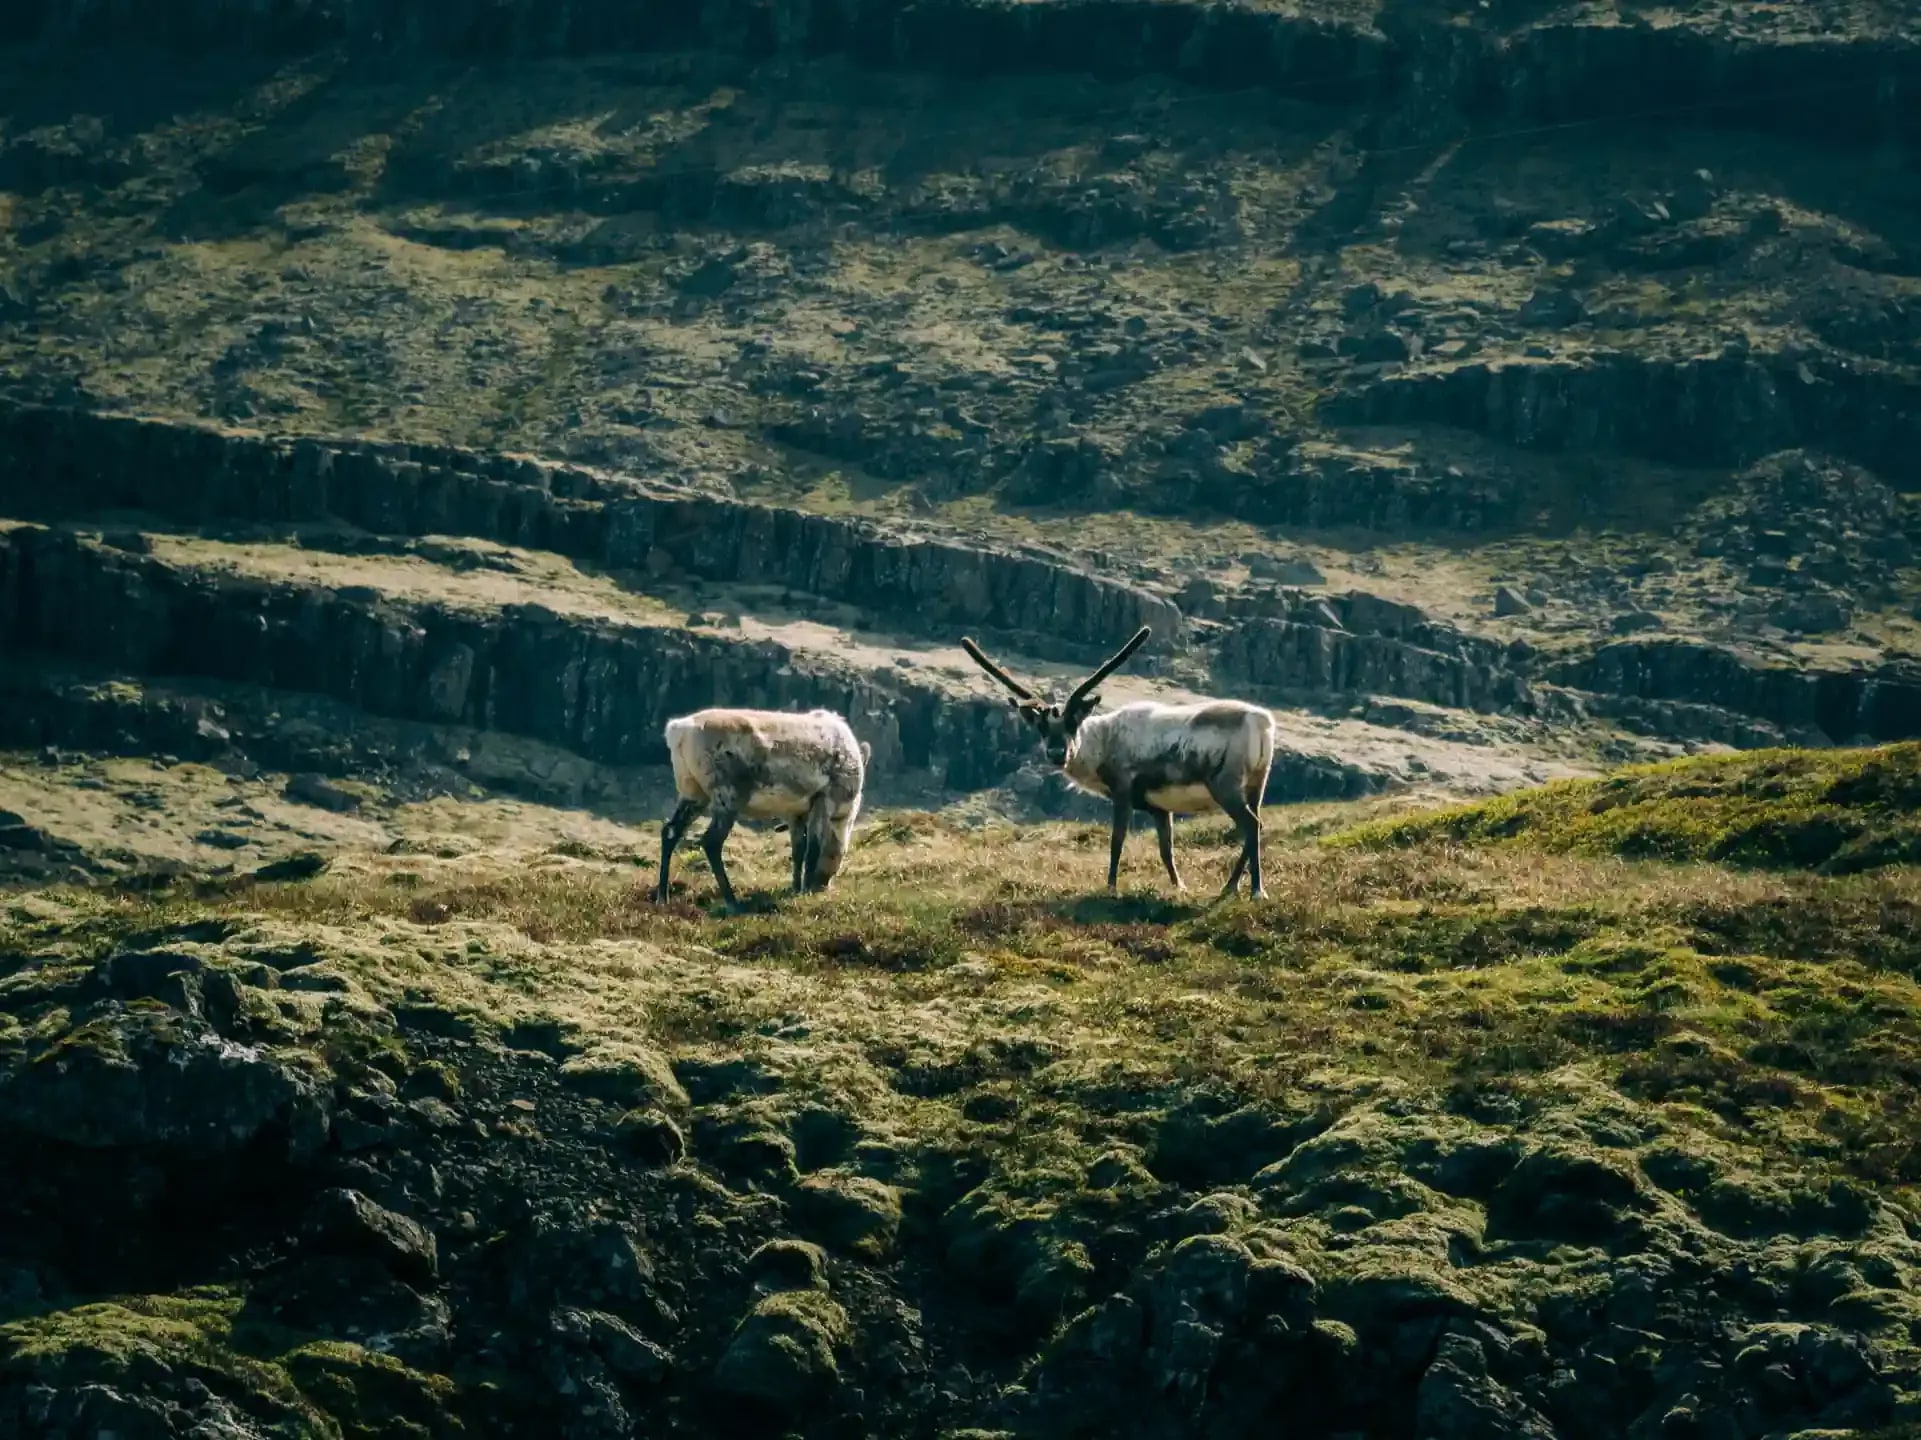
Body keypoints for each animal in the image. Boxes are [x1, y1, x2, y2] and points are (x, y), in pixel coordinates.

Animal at [655, 707, 871, 907]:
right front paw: (805, 890)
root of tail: (678, 730)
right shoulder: (824, 798)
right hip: (728, 795)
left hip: (693, 792)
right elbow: (813, 848)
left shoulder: (795, 812)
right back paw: (732, 902)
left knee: (670, 831)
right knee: (711, 842)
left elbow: (798, 850)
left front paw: (795, 887)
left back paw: (662, 897)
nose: (823, 886)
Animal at [959, 626, 1275, 899]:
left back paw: (1256, 891)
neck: (1103, 742)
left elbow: (1117, 841)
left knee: (1251, 824)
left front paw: (1110, 887)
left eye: (1074, 723)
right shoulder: (1159, 807)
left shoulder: (1123, 791)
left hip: (1225, 785)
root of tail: (1261, 721)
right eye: (1041, 727)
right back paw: (1232, 887)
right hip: (1257, 782)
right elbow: (1166, 849)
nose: (1057, 753)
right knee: (1257, 825)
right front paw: (1180, 887)